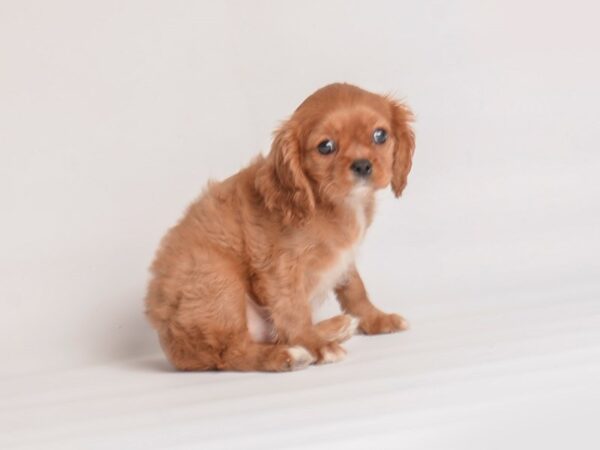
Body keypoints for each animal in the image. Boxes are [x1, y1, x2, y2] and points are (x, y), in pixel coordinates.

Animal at [146, 82, 418, 370]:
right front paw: (317, 346)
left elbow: (355, 289)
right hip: (218, 279)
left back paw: (336, 326)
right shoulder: (280, 269)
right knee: (232, 352)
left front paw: (376, 319)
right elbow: (293, 310)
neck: (334, 204)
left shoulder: (344, 257)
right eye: (325, 146)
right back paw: (288, 354)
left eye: (380, 135)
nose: (363, 165)